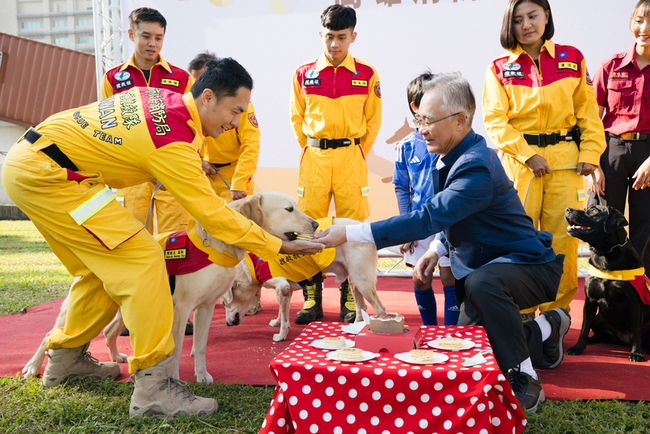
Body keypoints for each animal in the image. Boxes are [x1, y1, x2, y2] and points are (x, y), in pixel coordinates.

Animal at [24, 192, 318, 384]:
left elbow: (200, 346)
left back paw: (117, 357)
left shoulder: (205, 307)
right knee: (50, 335)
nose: (316, 223)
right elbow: (175, 351)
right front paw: (175, 379)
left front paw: (202, 375)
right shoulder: (182, 308)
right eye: (289, 209)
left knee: (107, 332)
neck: (217, 246)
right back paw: (33, 367)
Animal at [223, 220, 384, 342]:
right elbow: (282, 312)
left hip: (362, 281)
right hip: (354, 281)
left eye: (224, 303)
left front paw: (281, 335)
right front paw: (278, 322)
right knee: (361, 307)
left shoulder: (282, 286)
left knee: (380, 309)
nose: (227, 324)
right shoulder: (285, 290)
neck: (251, 265)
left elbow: (284, 317)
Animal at [560, 205, 648, 362]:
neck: (605, 254)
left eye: (594, 211)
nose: (567, 209)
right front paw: (578, 347)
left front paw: (636, 353)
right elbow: (584, 328)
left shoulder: (633, 304)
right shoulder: (589, 301)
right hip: (598, 318)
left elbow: (635, 332)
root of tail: (623, 341)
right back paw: (592, 339)